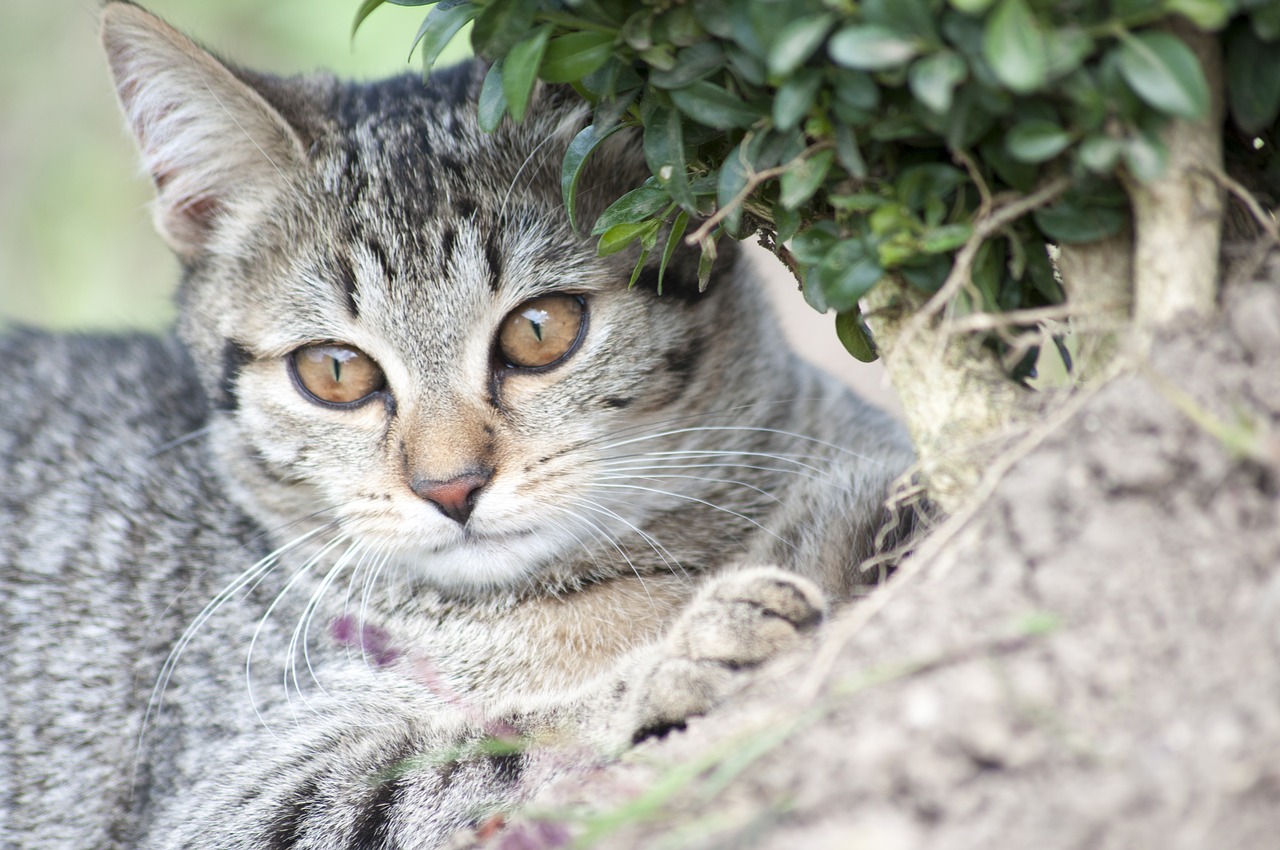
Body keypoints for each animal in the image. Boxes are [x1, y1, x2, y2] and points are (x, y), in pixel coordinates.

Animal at [0, 3, 921, 844]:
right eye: (335, 372)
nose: (450, 486)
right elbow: (474, 752)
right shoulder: (234, 799)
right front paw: (678, 660)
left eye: (541, 330)